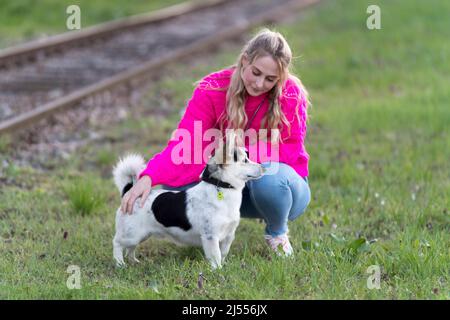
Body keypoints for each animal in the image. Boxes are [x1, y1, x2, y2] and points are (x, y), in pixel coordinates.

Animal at [112, 136, 266, 268]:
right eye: (245, 160)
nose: (264, 167)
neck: (222, 187)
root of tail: (128, 191)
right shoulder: (211, 237)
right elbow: (216, 257)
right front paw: (218, 271)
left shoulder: (229, 235)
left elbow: (223, 253)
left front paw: (224, 266)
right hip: (131, 235)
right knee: (117, 243)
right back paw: (120, 264)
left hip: (141, 235)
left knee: (130, 248)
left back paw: (133, 261)